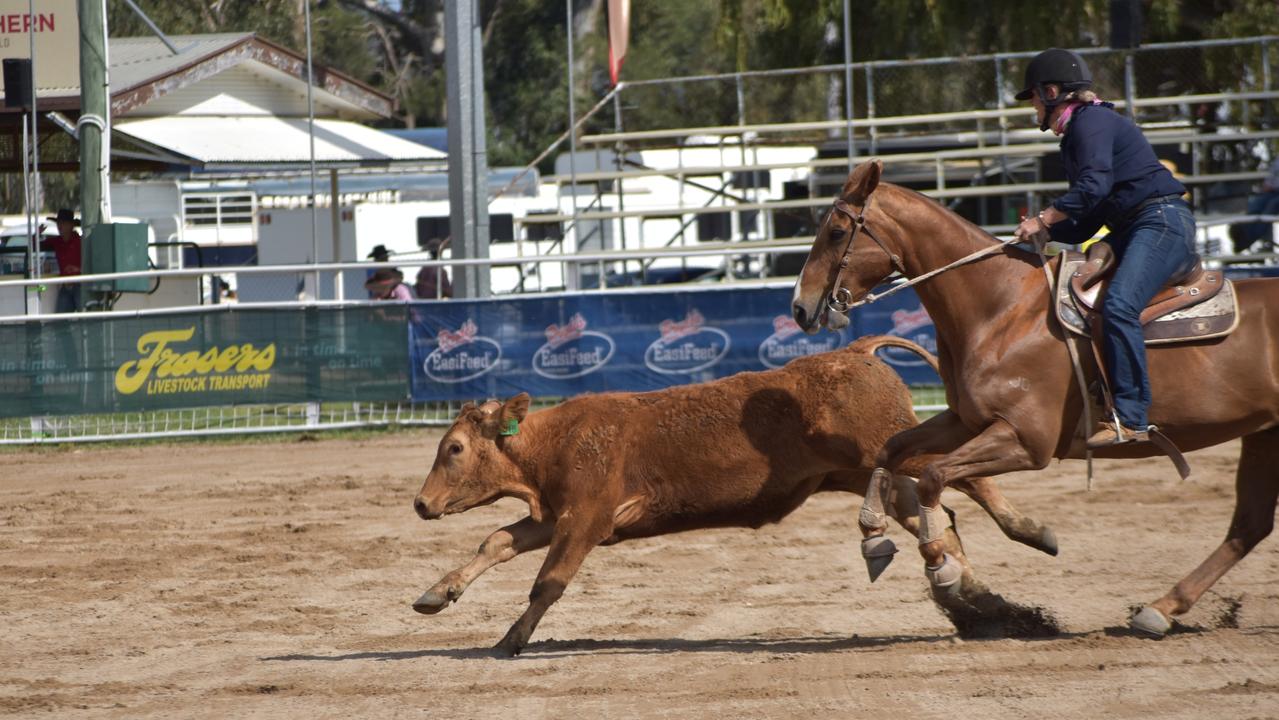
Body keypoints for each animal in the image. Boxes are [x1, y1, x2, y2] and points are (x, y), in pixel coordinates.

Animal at [414, 335, 1053, 654]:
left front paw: (510, 640)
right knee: (937, 513)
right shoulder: (554, 515)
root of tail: (855, 351)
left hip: (890, 448)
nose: (421, 504)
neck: (555, 440)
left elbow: (547, 582)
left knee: (964, 479)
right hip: (869, 470)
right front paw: (436, 594)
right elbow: (496, 541)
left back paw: (1028, 534)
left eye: (454, 448)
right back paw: (980, 602)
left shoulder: (587, 518)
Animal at [787, 159, 1279, 636]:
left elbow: (931, 475)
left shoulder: (1027, 441)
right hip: (1263, 435)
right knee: (1249, 526)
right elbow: (892, 449)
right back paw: (1161, 609)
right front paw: (874, 538)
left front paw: (941, 566)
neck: (1003, 308)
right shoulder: (965, 421)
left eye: (836, 231)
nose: (800, 307)